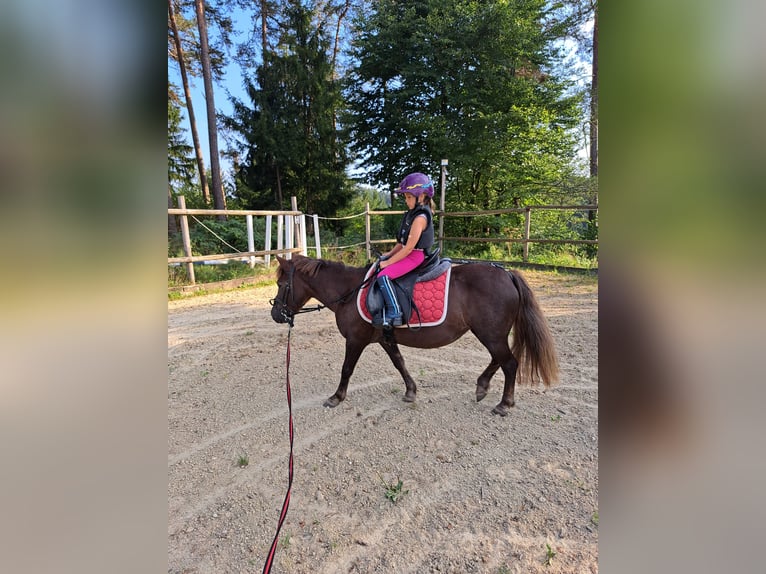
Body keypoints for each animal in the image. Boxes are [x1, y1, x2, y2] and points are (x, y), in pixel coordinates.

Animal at [272, 256, 560, 418]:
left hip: (491, 335)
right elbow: (400, 363)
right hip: (491, 334)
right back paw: (482, 387)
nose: (276, 314)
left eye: (281, 284)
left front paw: (336, 397)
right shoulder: (385, 339)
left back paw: (503, 404)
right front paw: (411, 391)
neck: (350, 292)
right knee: (499, 360)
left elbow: (346, 369)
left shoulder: (355, 340)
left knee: (509, 363)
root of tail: (507, 274)